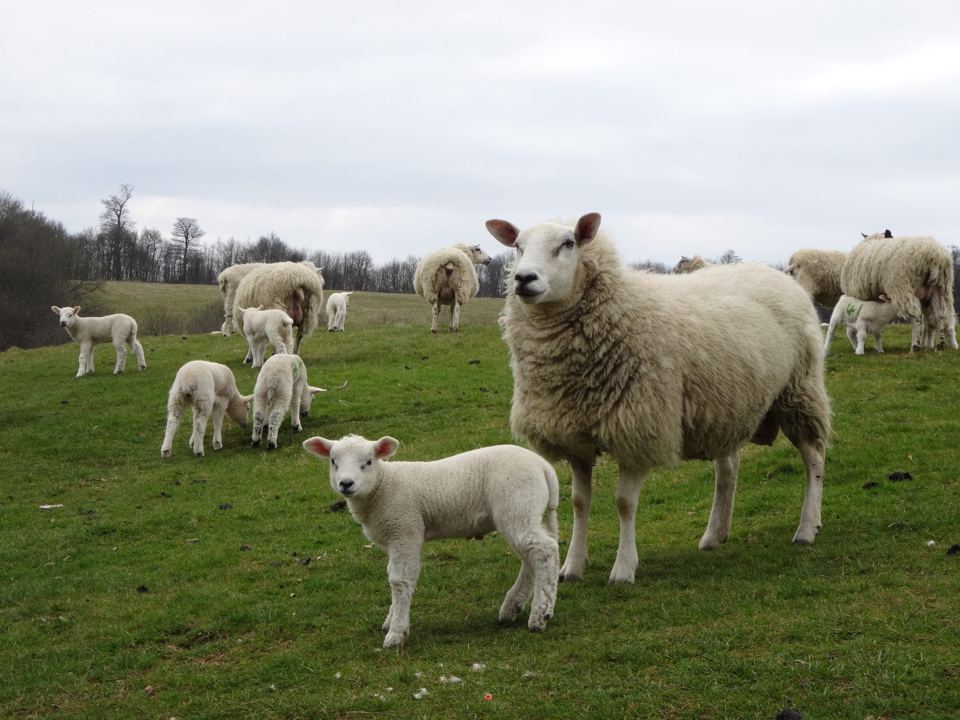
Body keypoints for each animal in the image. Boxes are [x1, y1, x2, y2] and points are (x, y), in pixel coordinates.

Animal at [302, 434, 560, 647]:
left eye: (368, 462)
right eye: (333, 461)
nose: (346, 483)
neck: (383, 486)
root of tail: (543, 466)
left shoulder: (405, 531)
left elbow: (399, 581)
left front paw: (396, 632)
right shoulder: (395, 539)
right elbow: (391, 575)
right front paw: (391, 619)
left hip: (517, 505)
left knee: (544, 551)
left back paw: (540, 615)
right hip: (522, 513)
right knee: (532, 556)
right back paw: (512, 607)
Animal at [485, 212, 831, 585]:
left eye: (568, 243)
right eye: (517, 246)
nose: (523, 278)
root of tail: (777, 274)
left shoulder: (638, 427)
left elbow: (624, 504)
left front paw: (623, 569)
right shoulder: (575, 437)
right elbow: (579, 502)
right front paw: (572, 567)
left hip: (798, 391)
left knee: (813, 459)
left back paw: (807, 528)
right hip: (725, 403)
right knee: (728, 469)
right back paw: (714, 534)